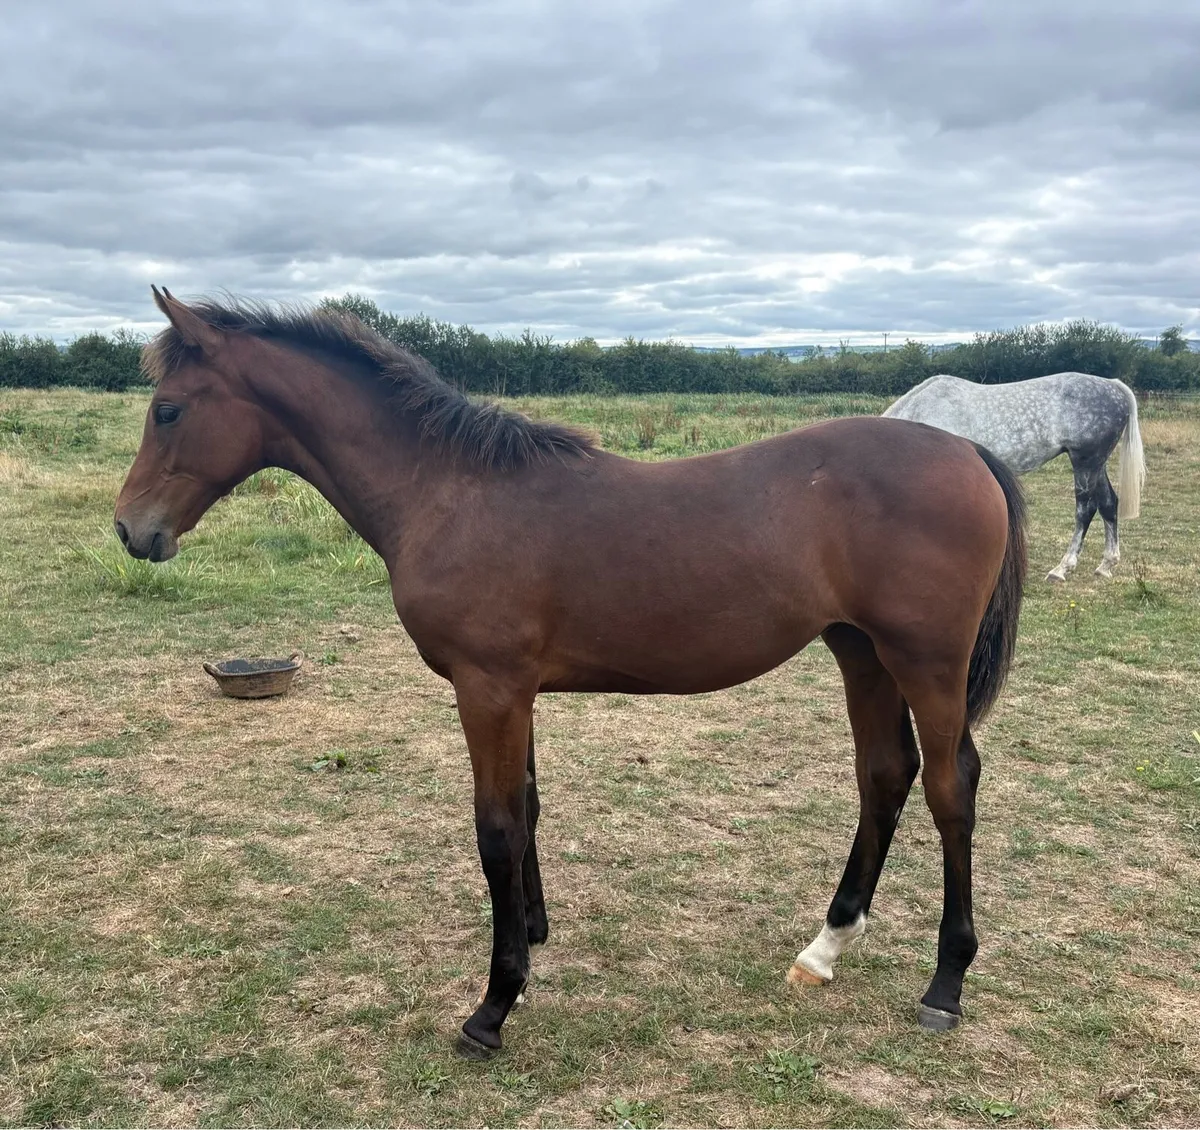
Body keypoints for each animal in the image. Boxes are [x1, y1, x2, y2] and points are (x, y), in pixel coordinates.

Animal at [115, 288, 1027, 1057]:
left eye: (169, 408)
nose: (131, 530)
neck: (451, 493)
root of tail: (968, 451)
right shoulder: (512, 692)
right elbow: (527, 808)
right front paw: (534, 934)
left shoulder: (487, 689)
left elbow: (495, 829)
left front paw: (493, 1005)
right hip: (859, 651)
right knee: (885, 773)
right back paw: (826, 947)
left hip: (924, 662)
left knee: (949, 785)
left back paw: (945, 984)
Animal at [883, 372, 1145, 583]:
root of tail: (1113, 386)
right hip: (1096, 464)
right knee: (1108, 503)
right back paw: (1106, 565)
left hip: (1085, 462)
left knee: (1085, 509)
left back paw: (1062, 568)